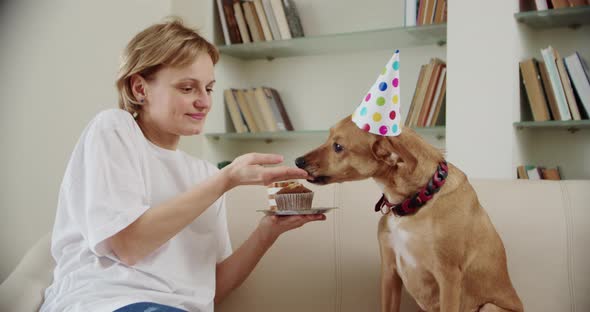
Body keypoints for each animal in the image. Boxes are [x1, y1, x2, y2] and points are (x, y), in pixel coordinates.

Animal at [298, 116, 524, 312]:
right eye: (328, 137)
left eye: (338, 147)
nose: (298, 161)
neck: (416, 201)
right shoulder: (389, 272)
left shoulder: (449, 277)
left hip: (489, 307)